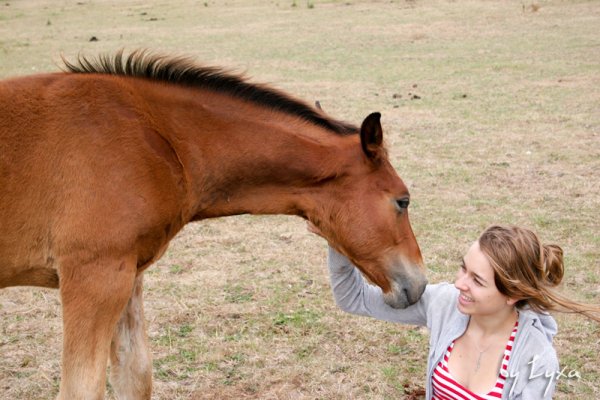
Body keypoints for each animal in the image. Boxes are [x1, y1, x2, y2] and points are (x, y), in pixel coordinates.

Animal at [0, 50, 426, 400]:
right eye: (401, 201)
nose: (418, 284)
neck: (154, 137)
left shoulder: (127, 275)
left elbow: (135, 377)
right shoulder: (94, 278)